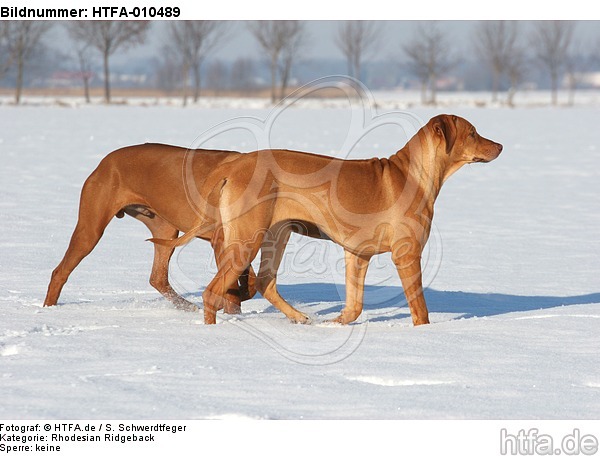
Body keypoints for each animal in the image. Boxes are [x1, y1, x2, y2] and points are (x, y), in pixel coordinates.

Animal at [43, 144, 255, 312]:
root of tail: (106, 160)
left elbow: (246, 282)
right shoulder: (221, 242)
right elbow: (234, 290)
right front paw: (233, 315)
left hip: (165, 231)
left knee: (157, 278)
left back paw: (186, 306)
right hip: (90, 231)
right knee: (59, 272)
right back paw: (49, 309)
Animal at [159, 116, 502, 326]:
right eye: (473, 133)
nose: (499, 145)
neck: (415, 173)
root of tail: (234, 164)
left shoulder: (357, 254)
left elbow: (354, 307)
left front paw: (334, 324)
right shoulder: (407, 253)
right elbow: (420, 308)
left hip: (275, 235)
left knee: (266, 282)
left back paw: (299, 318)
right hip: (247, 239)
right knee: (212, 292)